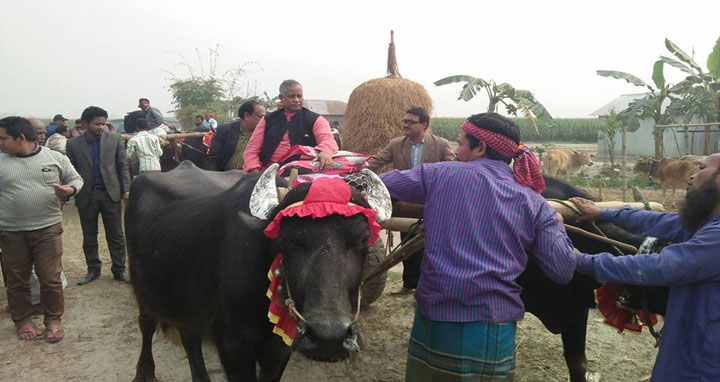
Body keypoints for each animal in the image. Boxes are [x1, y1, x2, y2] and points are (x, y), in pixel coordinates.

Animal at [126, 162, 390, 382]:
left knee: (189, 337)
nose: (330, 338)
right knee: (147, 325)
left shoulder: (280, 347)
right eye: (286, 240)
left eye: (364, 241)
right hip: (142, 290)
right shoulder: (233, 348)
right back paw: (143, 373)